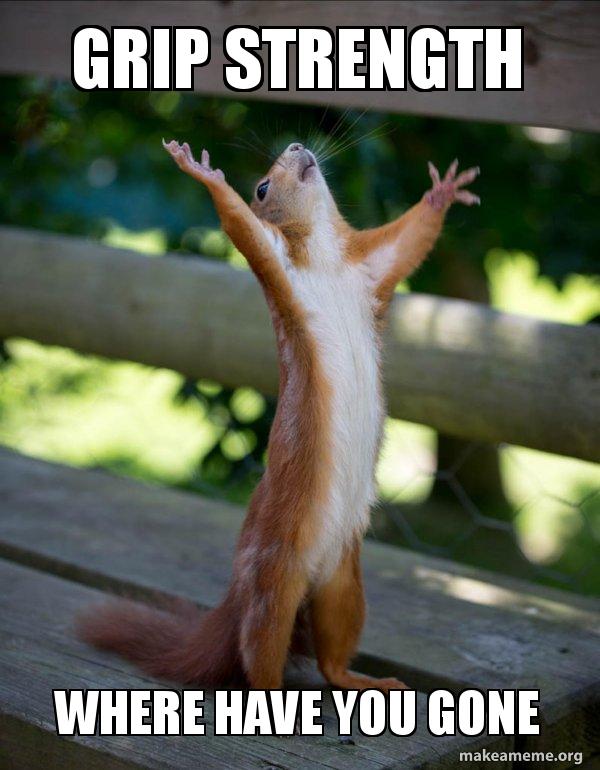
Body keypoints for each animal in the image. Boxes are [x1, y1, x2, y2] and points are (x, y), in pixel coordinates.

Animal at [78, 139, 479, 692]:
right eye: (263, 187)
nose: (296, 146)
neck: (327, 260)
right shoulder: (277, 263)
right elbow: (240, 226)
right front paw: (203, 173)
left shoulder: (372, 267)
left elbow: (409, 240)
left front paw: (442, 193)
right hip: (273, 582)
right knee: (260, 655)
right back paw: (276, 692)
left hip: (344, 584)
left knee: (332, 655)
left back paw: (364, 681)